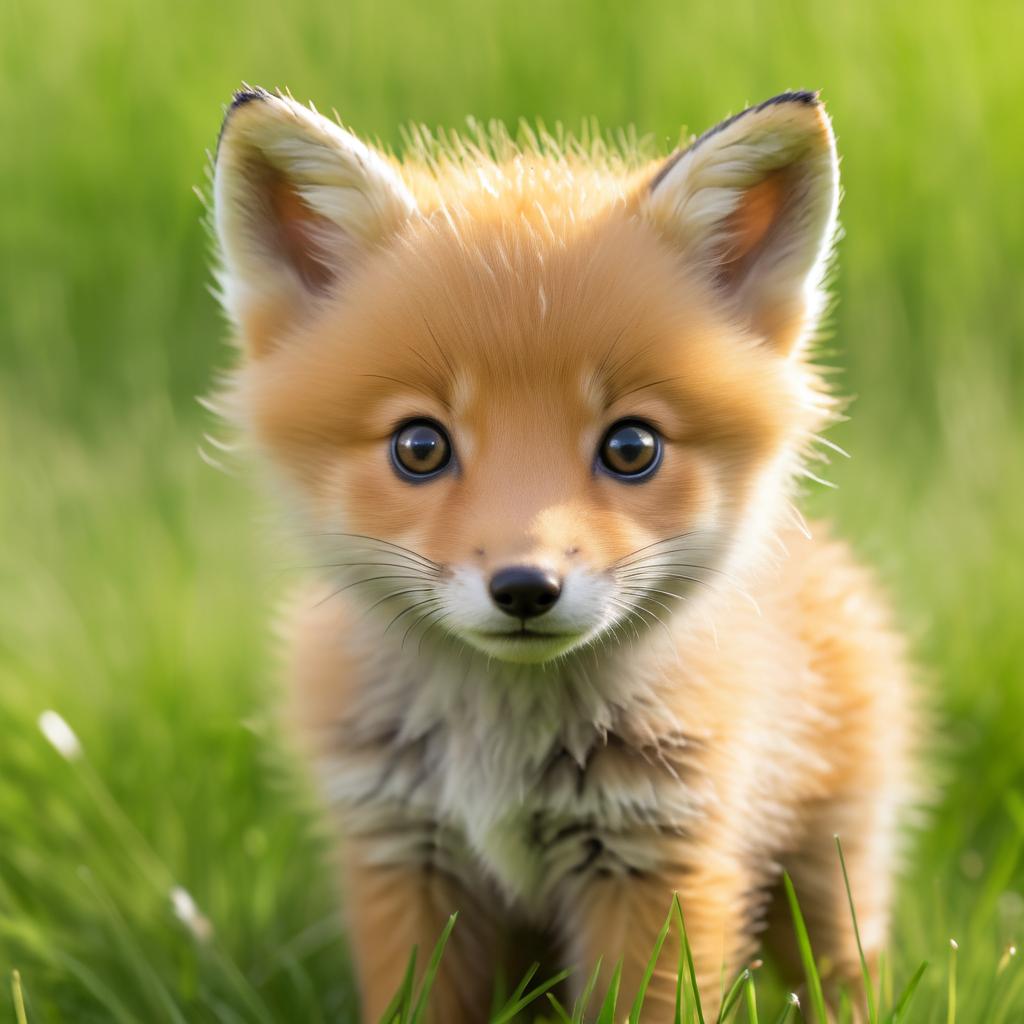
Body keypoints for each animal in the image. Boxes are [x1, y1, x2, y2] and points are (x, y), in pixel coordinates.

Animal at [214, 90, 913, 1024]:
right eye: (419, 448)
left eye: (631, 447)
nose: (524, 587)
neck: (505, 752)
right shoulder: (402, 849)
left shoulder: (660, 854)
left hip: (829, 875)